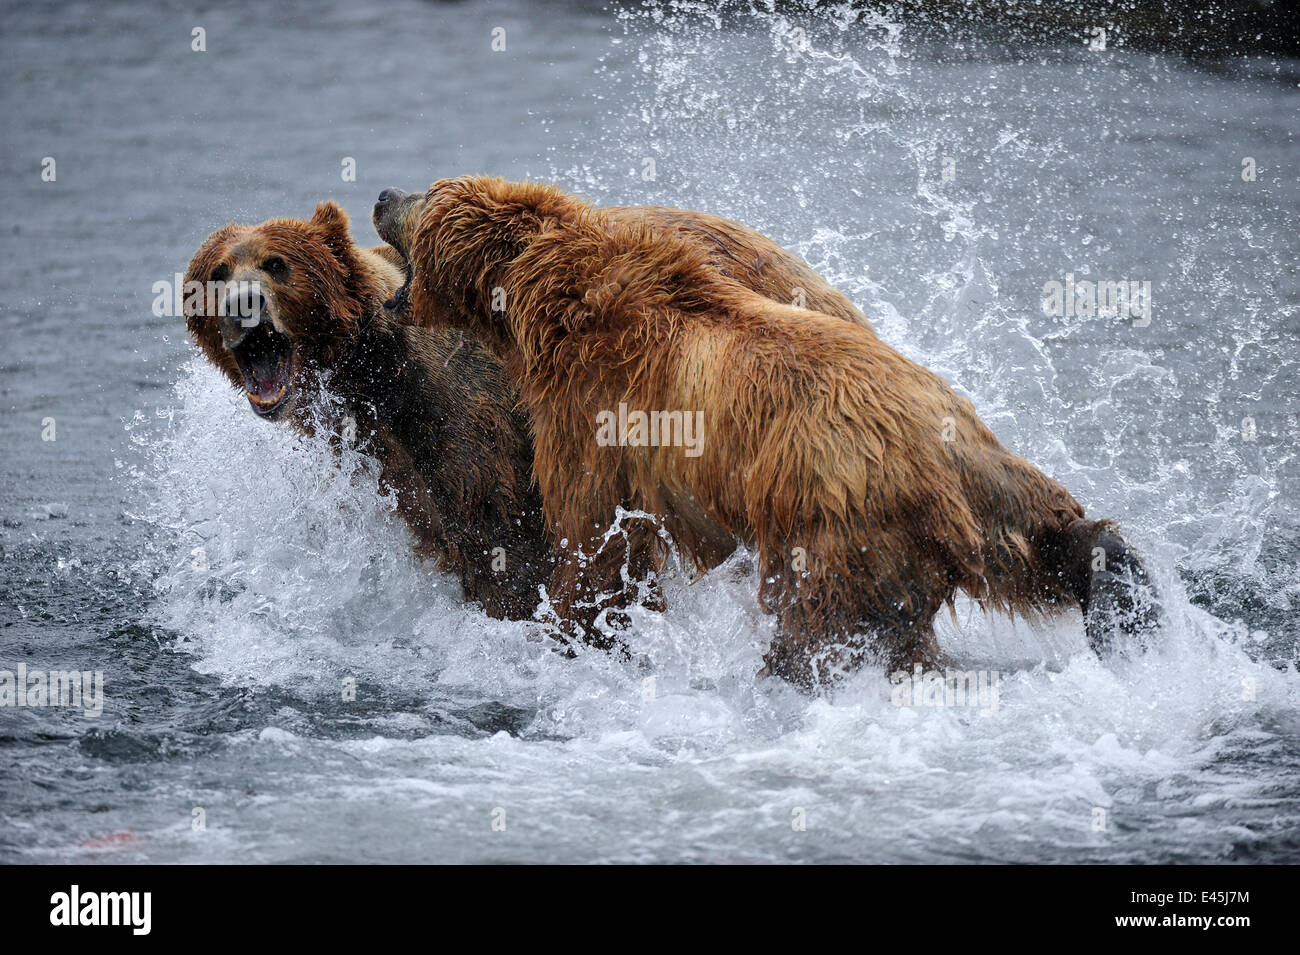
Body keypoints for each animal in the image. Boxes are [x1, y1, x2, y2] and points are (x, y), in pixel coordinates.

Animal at [374, 178, 1159, 686]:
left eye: (428, 195)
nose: (381, 196)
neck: (545, 304)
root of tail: (937, 475)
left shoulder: (593, 410)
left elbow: (594, 537)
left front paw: (567, 626)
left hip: (833, 515)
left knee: (816, 620)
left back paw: (786, 672)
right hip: (976, 460)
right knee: (1040, 530)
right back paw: (1122, 585)